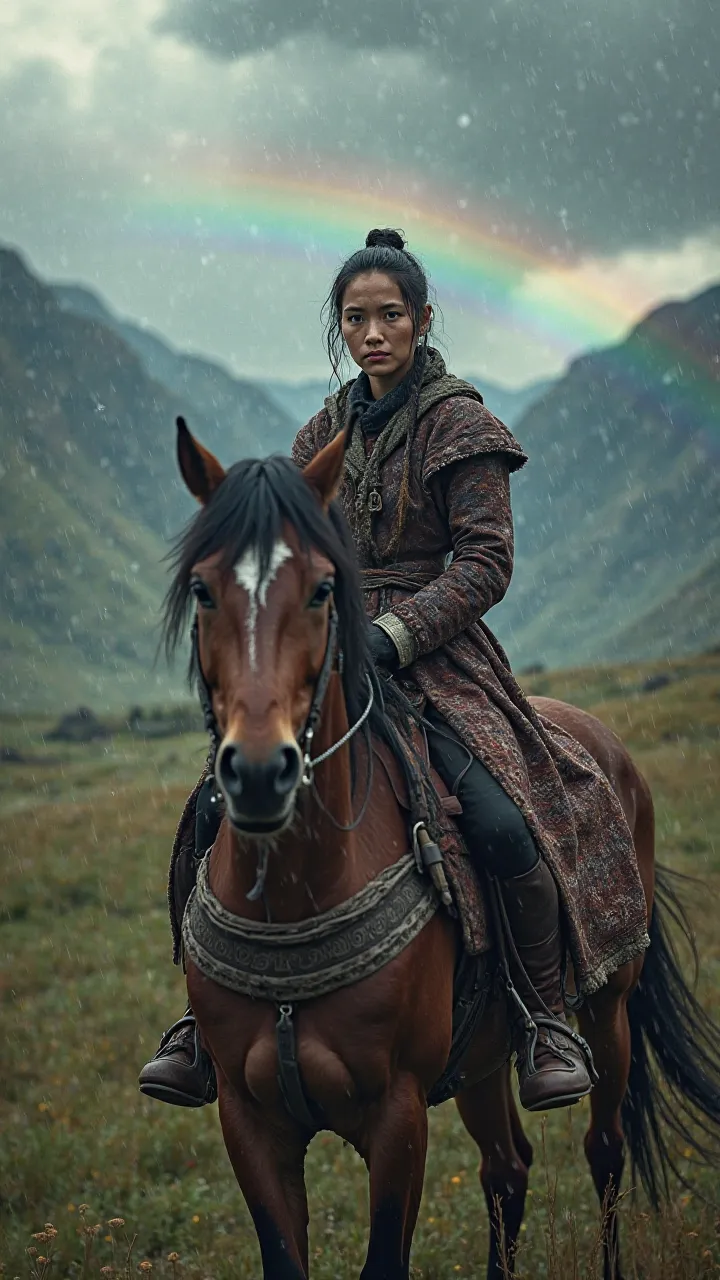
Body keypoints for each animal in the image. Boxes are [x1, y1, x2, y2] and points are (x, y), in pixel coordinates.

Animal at [165, 422, 717, 1280]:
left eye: (322, 590)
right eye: (203, 589)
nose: (258, 773)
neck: (297, 894)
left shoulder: (397, 1117)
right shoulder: (250, 1119)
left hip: (608, 1010)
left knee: (605, 1149)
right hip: (484, 1056)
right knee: (507, 1170)